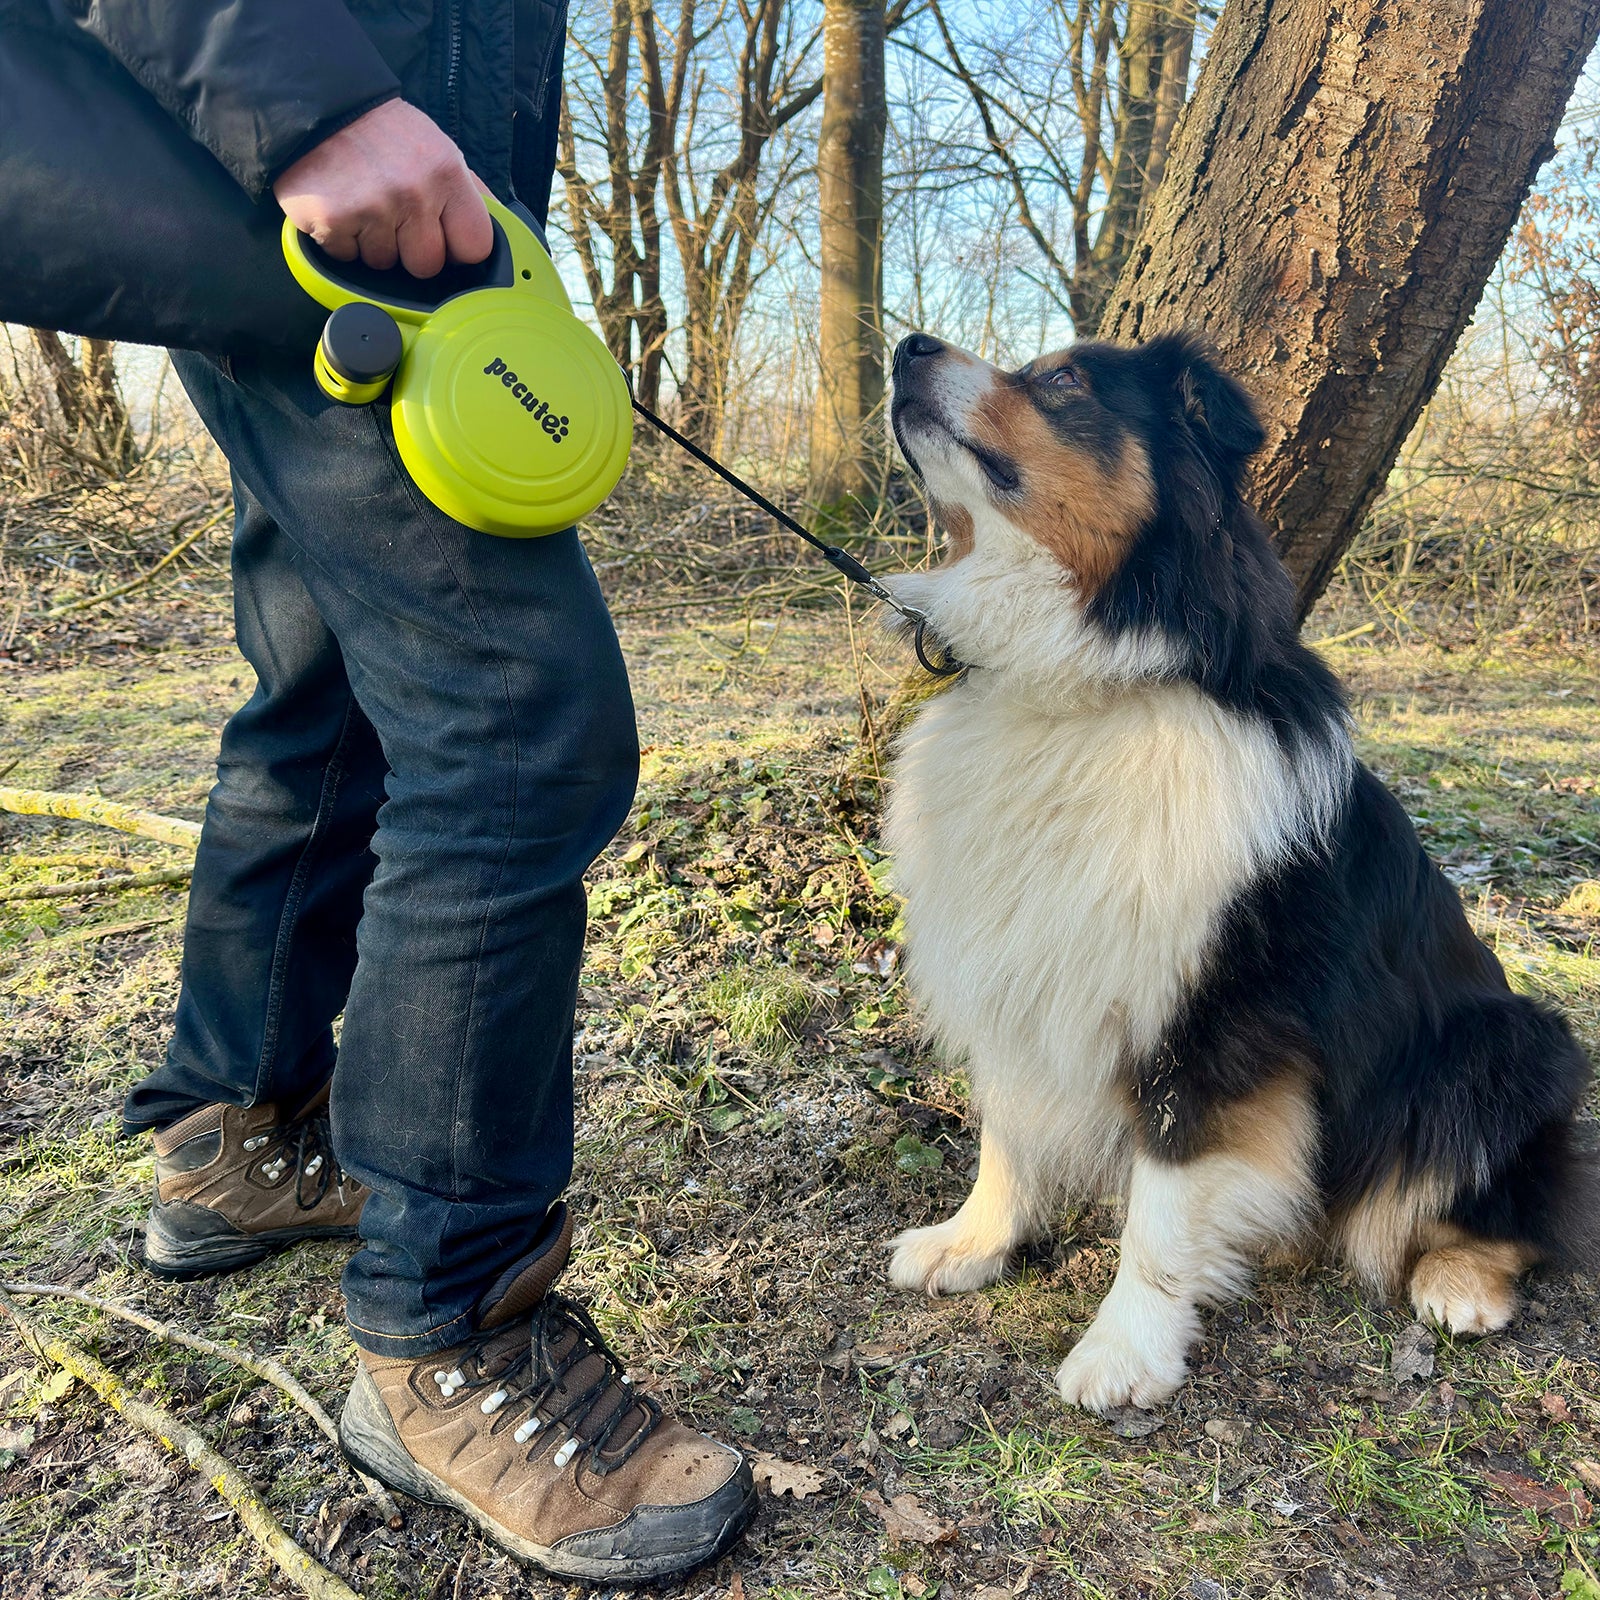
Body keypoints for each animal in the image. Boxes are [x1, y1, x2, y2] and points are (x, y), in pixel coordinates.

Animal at [883, 328, 1593, 1414]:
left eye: (1064, 379)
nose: (906, 346)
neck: (1090, 681)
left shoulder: (1214, 1013)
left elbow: (1166, 1199)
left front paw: (1127, 1348)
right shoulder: (1020, 956)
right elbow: (1007, 1127)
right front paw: (973, 1242)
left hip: (1508, 1047)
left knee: (1519, 1213)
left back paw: (1460, 1281)